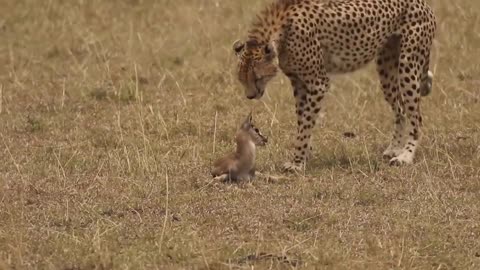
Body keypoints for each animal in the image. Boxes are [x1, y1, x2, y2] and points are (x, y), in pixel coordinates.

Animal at [232, 0, 436, 171]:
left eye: (257, 77)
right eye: (241, 79)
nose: (250, 96)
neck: (282, 29)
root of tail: (423, 3)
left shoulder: (318, 82)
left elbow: (306, 122)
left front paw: (297, 162)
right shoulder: (298, 82)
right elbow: (302, 119)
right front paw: (305, 154)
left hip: (408, 65)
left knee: (417, 118)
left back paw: (405, 156)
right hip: (386, 68)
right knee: (400, 110)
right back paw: (394, 148)